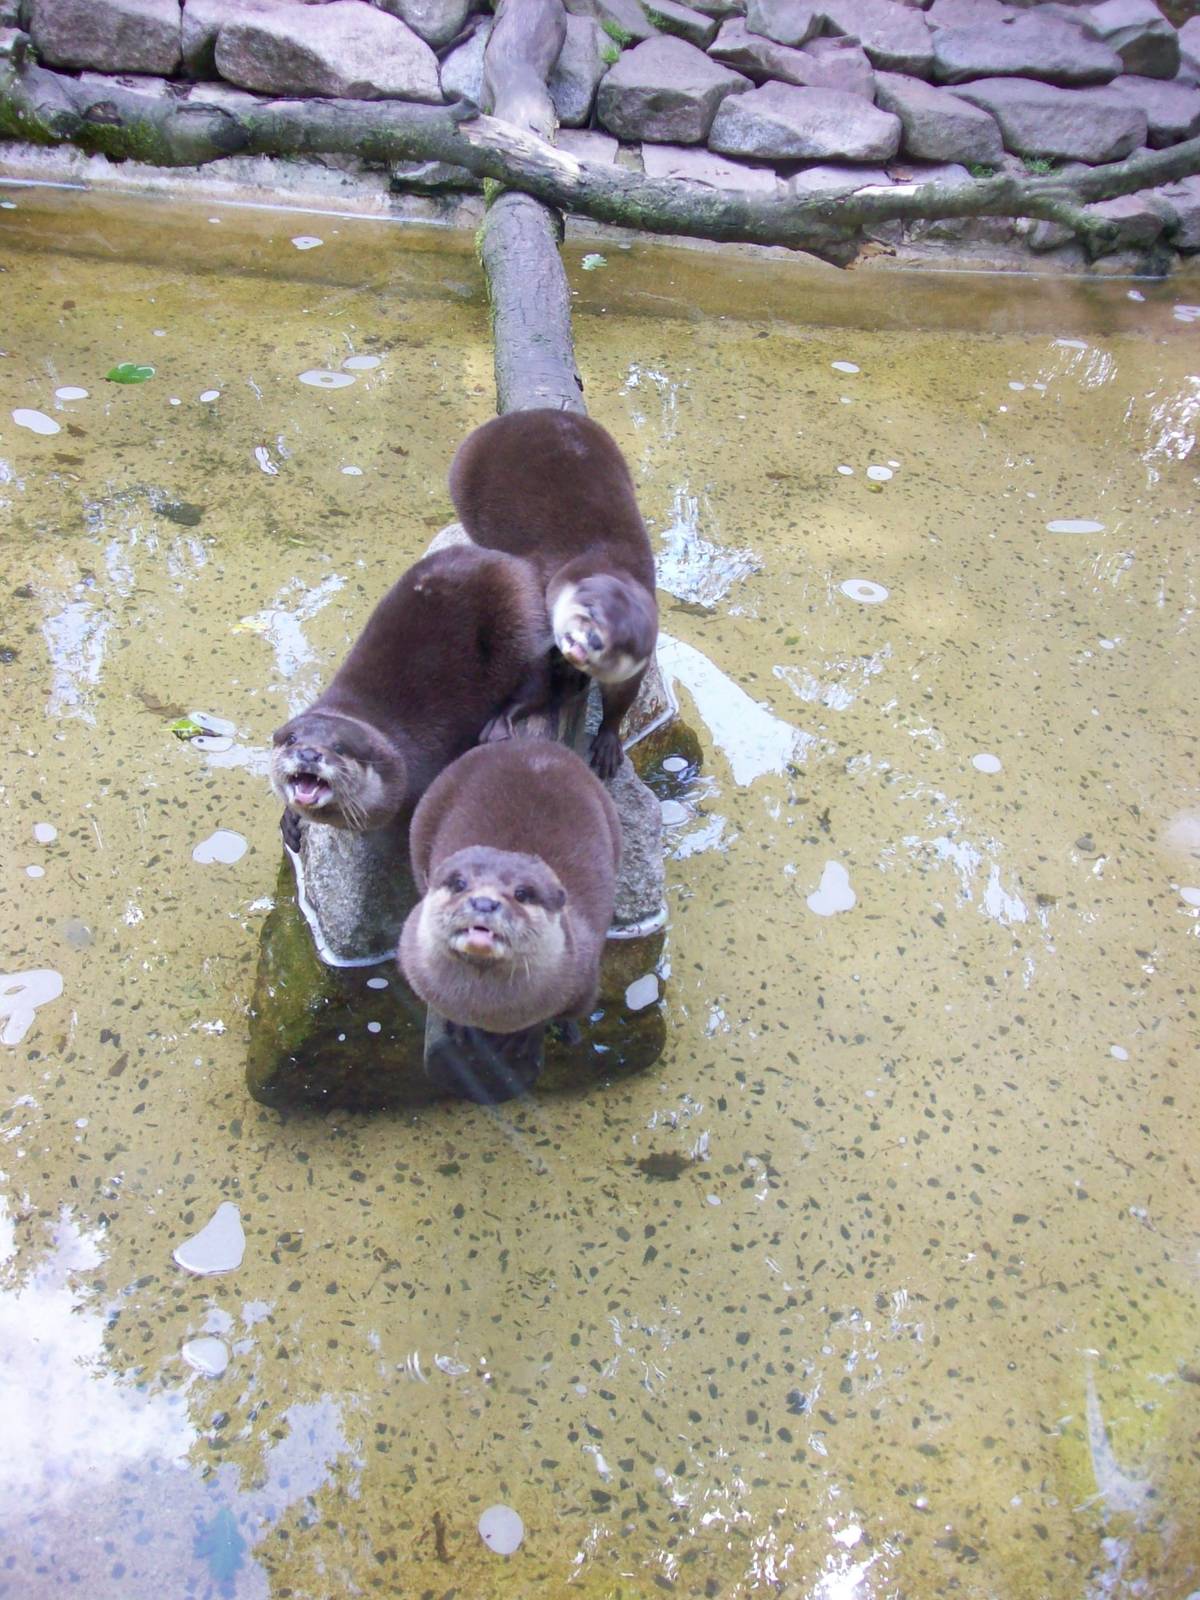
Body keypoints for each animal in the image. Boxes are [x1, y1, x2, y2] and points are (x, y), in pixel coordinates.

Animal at [271, 545, 550, 850]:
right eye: (292, 739)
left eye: (340, 748)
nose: (309, 753)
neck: (398, 762)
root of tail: (517, 562)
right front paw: (290, 820)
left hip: (521, 617)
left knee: (539, 683)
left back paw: (500, 721)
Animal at [398, 740, 621, 1035]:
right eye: (459, 883)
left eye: (522, 894)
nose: (484, 902)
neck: (490, 1015)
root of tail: (532, 745)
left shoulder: (585, 979)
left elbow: (567, 1014)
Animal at [447, 409, 658, 781]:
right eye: (590, 612)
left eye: (620, 643)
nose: (591, 639)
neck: (610, 559)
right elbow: (533, 678)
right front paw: (507, 715)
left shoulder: (634, 667)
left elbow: (621, 700)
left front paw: (608, 740)